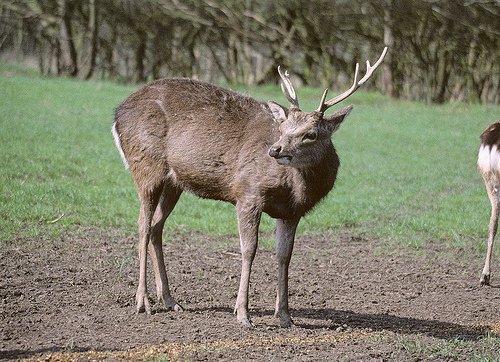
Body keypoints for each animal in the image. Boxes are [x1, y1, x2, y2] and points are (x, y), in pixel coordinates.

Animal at [112, 46, 386, 326]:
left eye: (310, 134)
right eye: (282, 128)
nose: (275, 149)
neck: (295, 189)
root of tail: (117, 114)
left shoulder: (292, 212)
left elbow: (284, 255)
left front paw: (285, 316)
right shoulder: (248, 193)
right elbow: (249, 250)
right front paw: (243, 314)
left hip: (174, 182)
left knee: (156, 227)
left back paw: (169, 300)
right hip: (147, 166)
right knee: (143, 225)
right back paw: (143, 302)